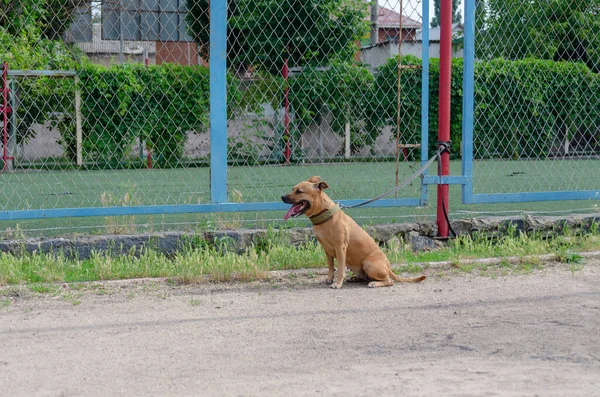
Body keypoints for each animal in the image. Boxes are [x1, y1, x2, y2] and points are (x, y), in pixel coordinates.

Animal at [282, 176, 426, 288]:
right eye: (293, 189)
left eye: (299, 191)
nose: (282, 196)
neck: (326, 215)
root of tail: (389, 268)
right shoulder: (327, 250)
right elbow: (330, 267)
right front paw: (329, 280)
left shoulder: (340, 248)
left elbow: (340, 269)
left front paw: (337, 284)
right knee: (367, 277)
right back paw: (355, 278)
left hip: (368, 264)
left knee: (389, 281)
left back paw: (374, 283)